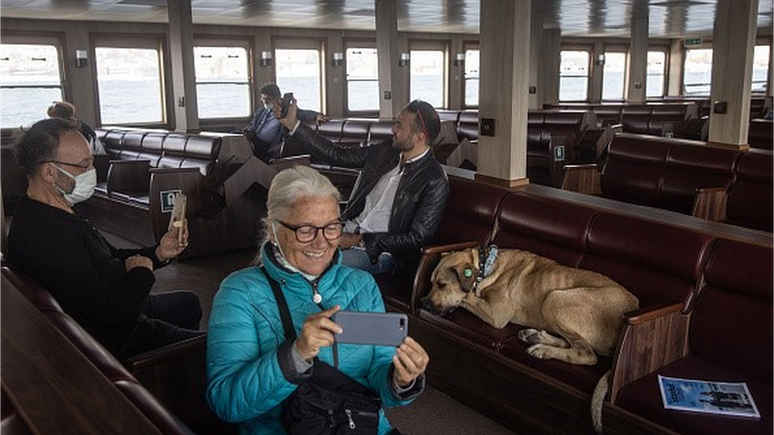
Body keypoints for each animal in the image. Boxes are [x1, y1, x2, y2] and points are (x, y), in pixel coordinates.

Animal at [424, 247, 644, 366]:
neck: (485, 266)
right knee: (573, 343)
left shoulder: (497, 314)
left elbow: (466, 297)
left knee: (587, 354)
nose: (423, 303)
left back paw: (543, 350)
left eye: (442, 285)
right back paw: (537, 337)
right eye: (430, 283)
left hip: (554, 298)